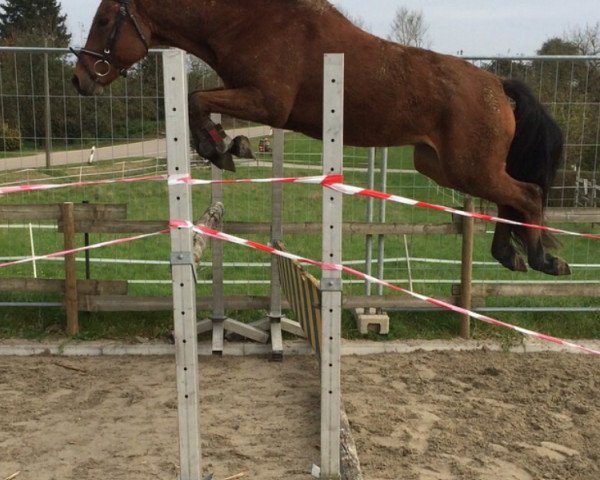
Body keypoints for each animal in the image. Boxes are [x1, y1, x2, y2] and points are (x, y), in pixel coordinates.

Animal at [70, 0, 568, 276]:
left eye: (104, 19)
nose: (79, 79)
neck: (246, 22)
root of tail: (498, 86)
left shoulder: (267, 102)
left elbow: (195, 99)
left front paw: (223, 147)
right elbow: (199, 102)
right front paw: (226, 145)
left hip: (468, 167)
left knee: (526, 193)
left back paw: (541, 259)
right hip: (441, 166)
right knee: (511, 198)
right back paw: (509, 255)